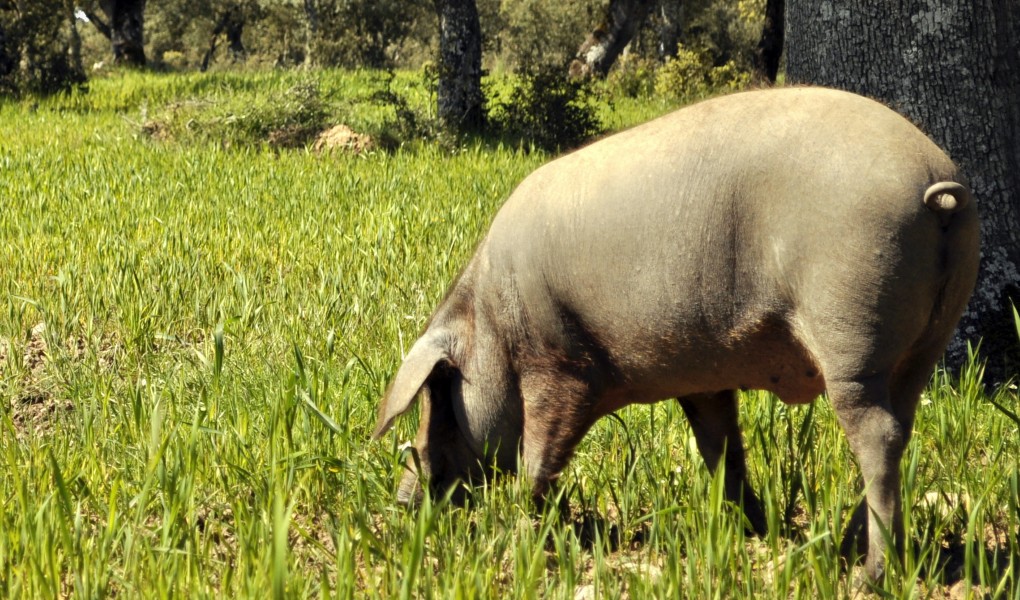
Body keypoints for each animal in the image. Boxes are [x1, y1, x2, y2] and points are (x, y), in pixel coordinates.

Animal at [373, 87, 979, 579]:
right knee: (901, 426)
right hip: (925, 342)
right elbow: (721, 447)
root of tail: (934, 181)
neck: (494, 322)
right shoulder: (704, 377)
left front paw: (522, 528)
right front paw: (749, 529)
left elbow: (539, 453)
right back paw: (845, 549)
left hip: (851, 328)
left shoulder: (560, 365)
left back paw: (869, 572)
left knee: (876, 434)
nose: (401, 501)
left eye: (437, 394)